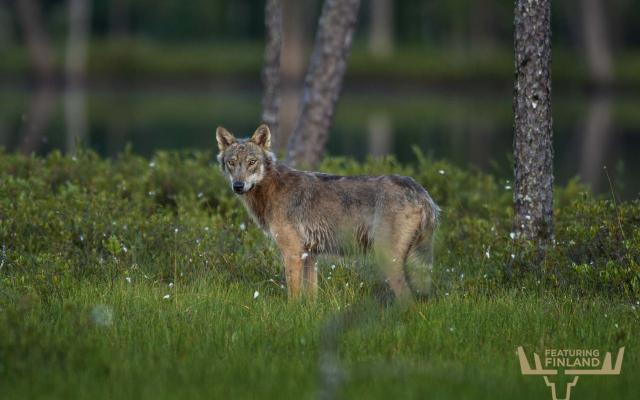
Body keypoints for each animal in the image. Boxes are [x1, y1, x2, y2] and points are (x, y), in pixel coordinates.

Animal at [216, 124, 440, 300]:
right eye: (232, 162)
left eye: (252, 162)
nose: (238, 186)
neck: (270, 189)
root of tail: (421, 192)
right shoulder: (309, 255)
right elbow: (311, 297)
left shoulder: (292, 253)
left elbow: (293, 296)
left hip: (388, 259)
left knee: (408, 301)